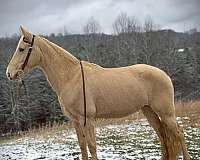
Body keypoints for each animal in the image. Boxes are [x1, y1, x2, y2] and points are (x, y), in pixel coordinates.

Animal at [6, 26, 190, 159]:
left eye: (22, 49)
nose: (9, 73)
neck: (71, 77)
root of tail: (164, 74)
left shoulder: (87, 120)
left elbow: (92, 146)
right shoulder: (76, 121)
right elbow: (82, 147)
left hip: (166, 113)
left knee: (179, 134)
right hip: (149, 111)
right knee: (163, 136)